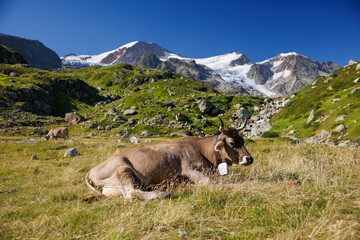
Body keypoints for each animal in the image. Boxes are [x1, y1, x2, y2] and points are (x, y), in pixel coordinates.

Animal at [86, 117, 253, 200]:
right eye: (231, 143)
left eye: (243, 140)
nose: (249, 158)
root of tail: (89, 172)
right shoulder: (189, 170)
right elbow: (208, 182)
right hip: (123, 169)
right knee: (132, 193)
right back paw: (163, 193)